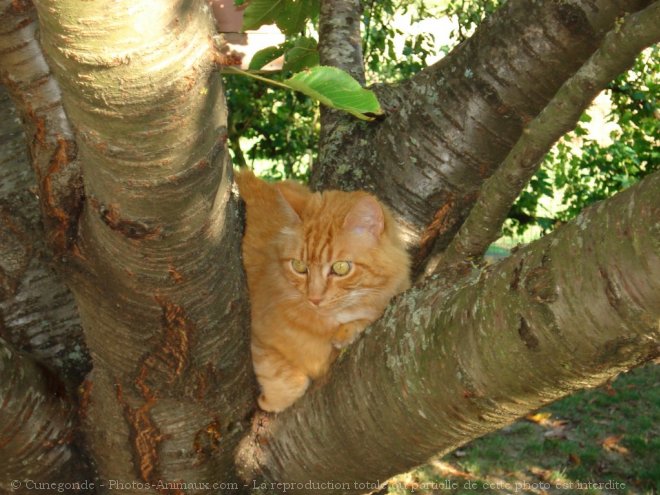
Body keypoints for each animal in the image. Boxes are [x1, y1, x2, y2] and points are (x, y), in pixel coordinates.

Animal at [237, 172, 410, 412]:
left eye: (341, 268)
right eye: (299, 267)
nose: (315, 298)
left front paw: (346, 332)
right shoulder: (256, 333)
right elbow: (284, 377)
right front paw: (271, 402)